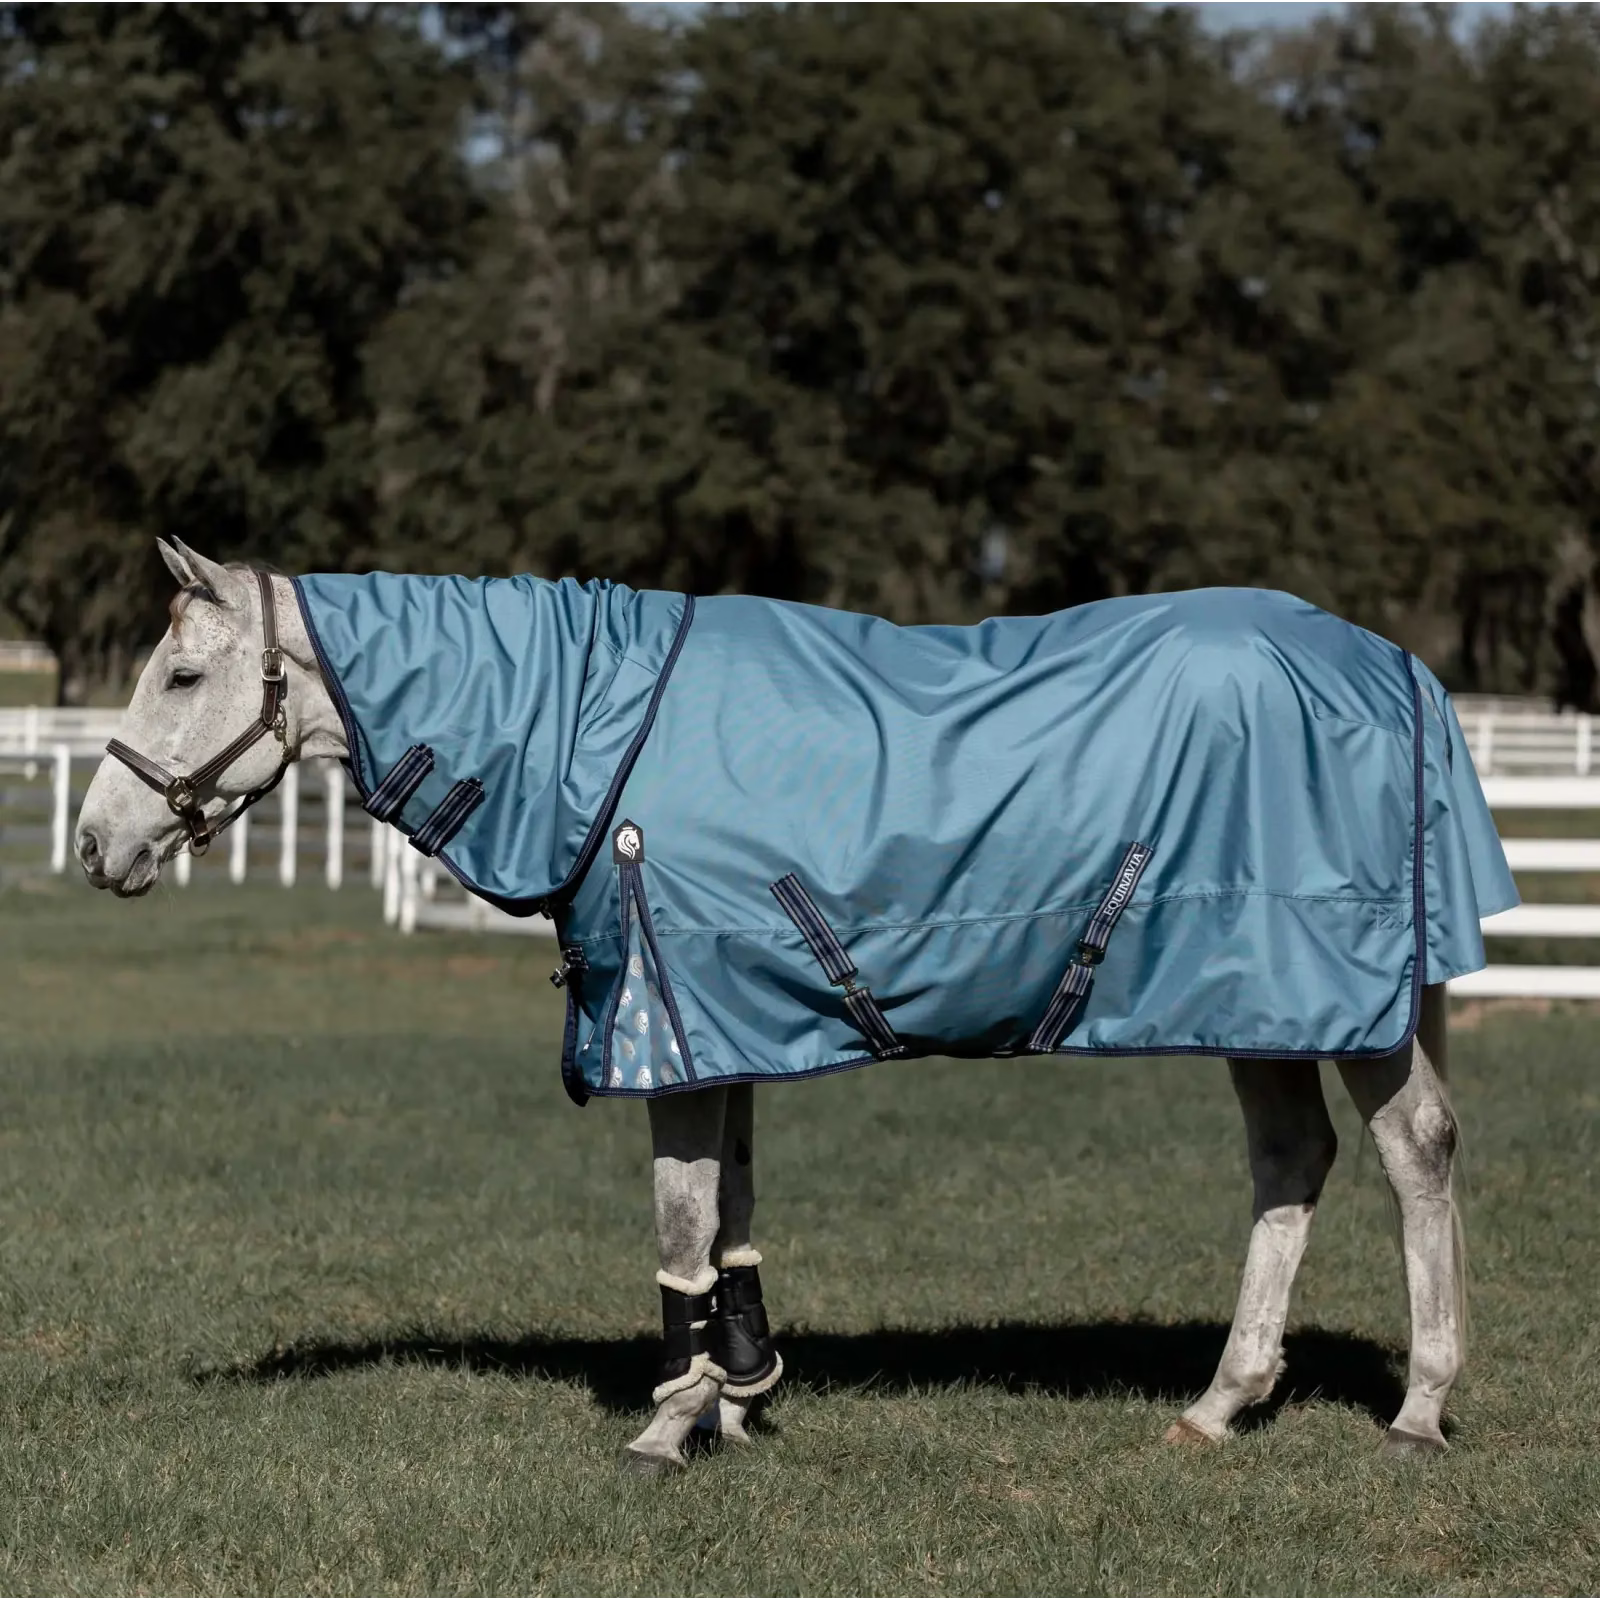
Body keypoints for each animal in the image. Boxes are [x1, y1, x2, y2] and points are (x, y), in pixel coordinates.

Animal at [76, 539, 1513, 1474]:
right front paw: (740, 1387)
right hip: (1265, 1000)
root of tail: (1392, 666)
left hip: (1340, 1000)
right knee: (1292, 1159)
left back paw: (1419, 1408)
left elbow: (679, 1217)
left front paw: (671, 1421)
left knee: (1413, 1151)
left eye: (183, 679)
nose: (96, 844)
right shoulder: (719, 1017)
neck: (605, 735)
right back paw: (1222, 1402)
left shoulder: (667, 1012)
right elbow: (730, 1211)